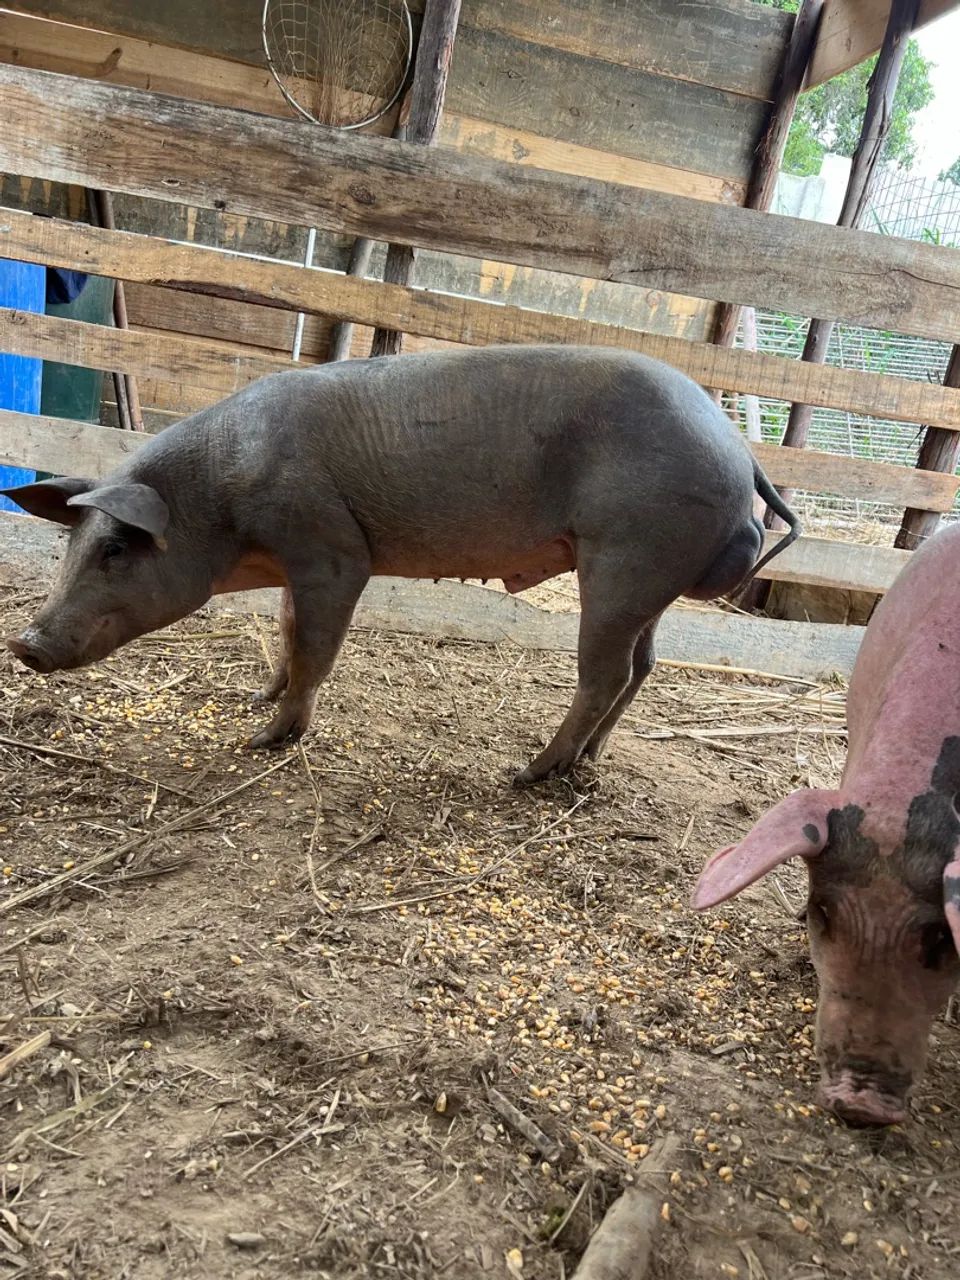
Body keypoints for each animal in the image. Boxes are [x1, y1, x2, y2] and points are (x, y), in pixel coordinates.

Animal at [3, 345, 799, 783]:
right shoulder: (296, 561)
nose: (25, 643)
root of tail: (742, 453)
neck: (220, 496)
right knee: (643, 668)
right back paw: (588, 763)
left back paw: (528, 773)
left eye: (116, 550)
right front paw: (259, 698)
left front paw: (262, 738)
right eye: (70, 545)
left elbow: (316, 645)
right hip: (652, 578)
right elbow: (288, 631)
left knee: (604, 674)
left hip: (626, 557)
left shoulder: (332, 549)